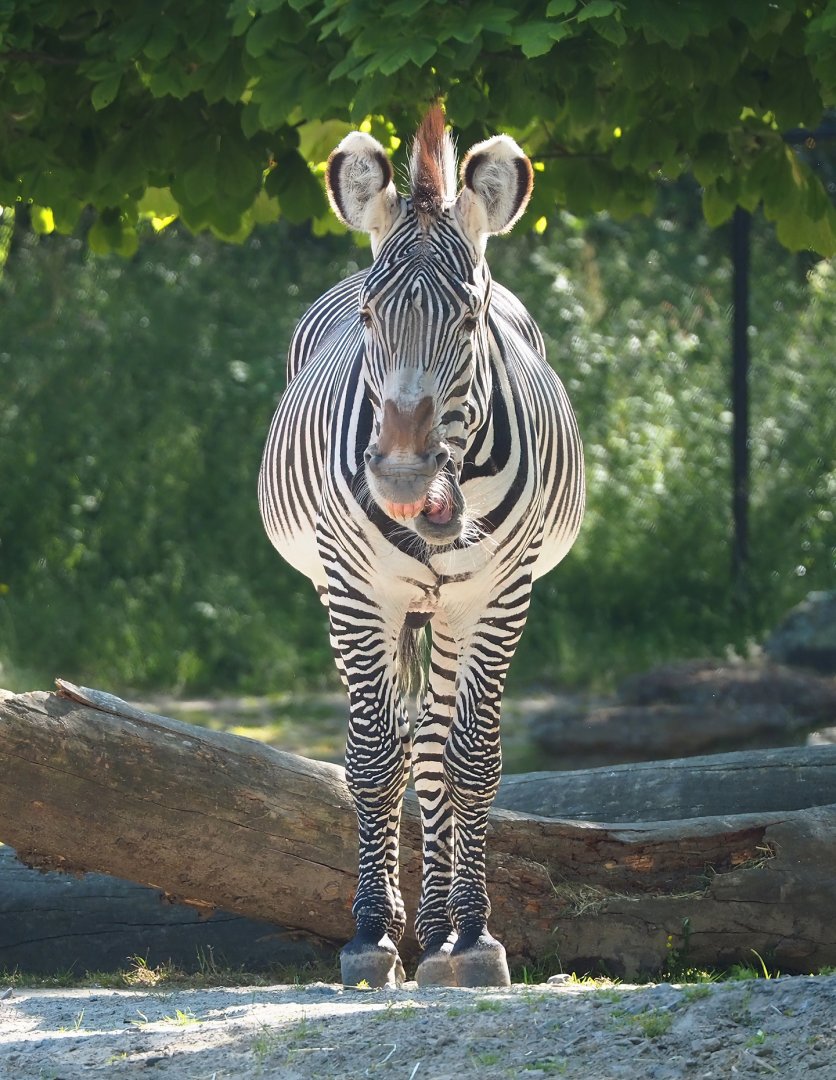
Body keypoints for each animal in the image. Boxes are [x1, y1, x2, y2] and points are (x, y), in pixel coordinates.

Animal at [259, 106, 584, 988]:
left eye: (469, 322)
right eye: (371, 320)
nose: (404, 479)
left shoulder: (499, 595)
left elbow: (470, 760)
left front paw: (470, 935)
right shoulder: (354, 591)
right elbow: (374, 758)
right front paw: (372, 934)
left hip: (449, 611)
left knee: (435, 750)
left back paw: (439, 930)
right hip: (358, 599)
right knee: (405, 746)